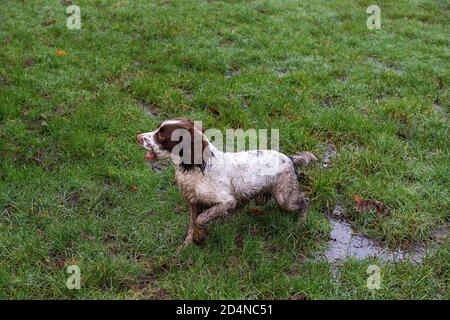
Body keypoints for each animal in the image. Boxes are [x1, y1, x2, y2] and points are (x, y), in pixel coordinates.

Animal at [137, 119, 316, 246]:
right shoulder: (193, 201)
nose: (138, 137)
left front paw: (200, 236)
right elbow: (192, 224)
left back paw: (300, 224)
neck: (198, 167)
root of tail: (290, 158)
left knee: (305, 201)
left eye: (161, 135)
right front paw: (186, 245)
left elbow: (201, 219)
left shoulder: (227, 202)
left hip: (284, 197)